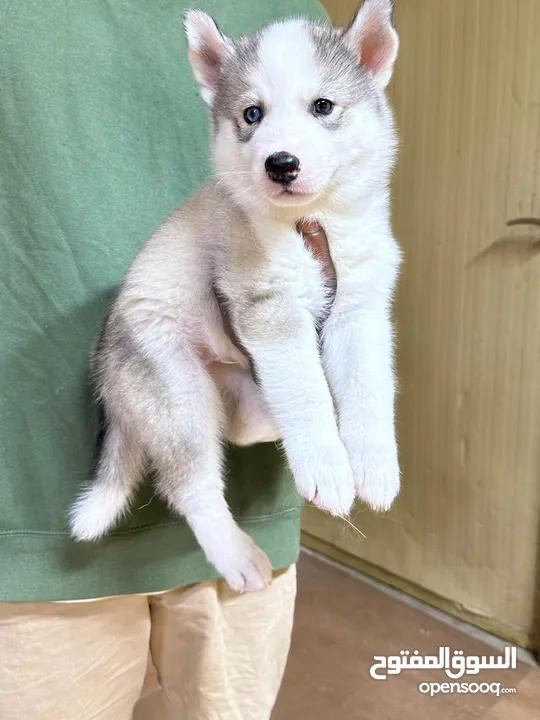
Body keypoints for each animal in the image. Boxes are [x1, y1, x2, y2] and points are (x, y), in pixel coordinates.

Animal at [69, 1, 400, 592]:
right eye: (252, 114)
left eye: (322, 106)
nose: (281, 163)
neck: (310, 221)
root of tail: (106, 369)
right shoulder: (268, 308)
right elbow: (306, 394)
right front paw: (326, 465)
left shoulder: (360, 308)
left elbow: (369, 387)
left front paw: (374, 462)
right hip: (175, 391)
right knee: (192, 486)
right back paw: (237, 554)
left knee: (243, 426)